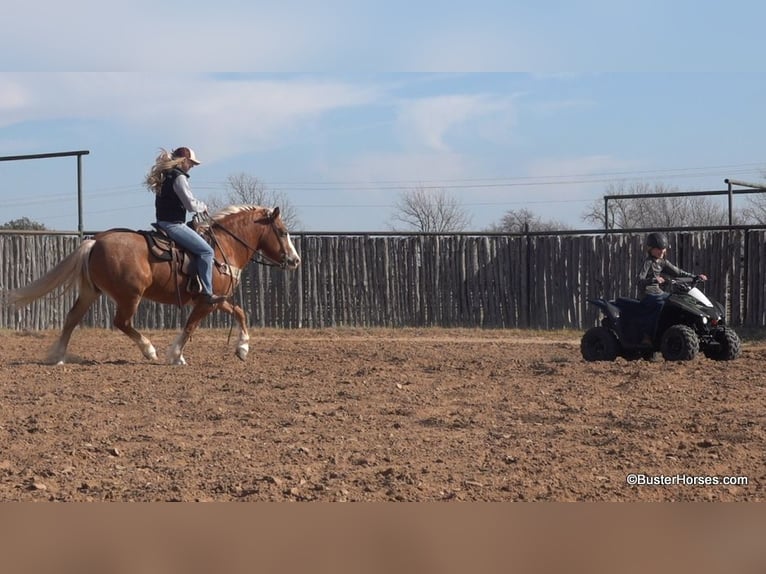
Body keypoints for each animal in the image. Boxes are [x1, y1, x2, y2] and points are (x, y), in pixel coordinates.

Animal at [4, 206, 302, 364]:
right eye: (283, 231)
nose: (295, 260)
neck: (223, 247)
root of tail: (95, 241)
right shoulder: (206, 301)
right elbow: (190, 326)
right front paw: (176, 355)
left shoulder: (215, 299)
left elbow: (240, 312)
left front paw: (242, 349)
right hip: (129, 296)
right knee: (121, 323)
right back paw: (149, 350)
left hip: (91, 292)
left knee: (71, 319)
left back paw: (57, 356)